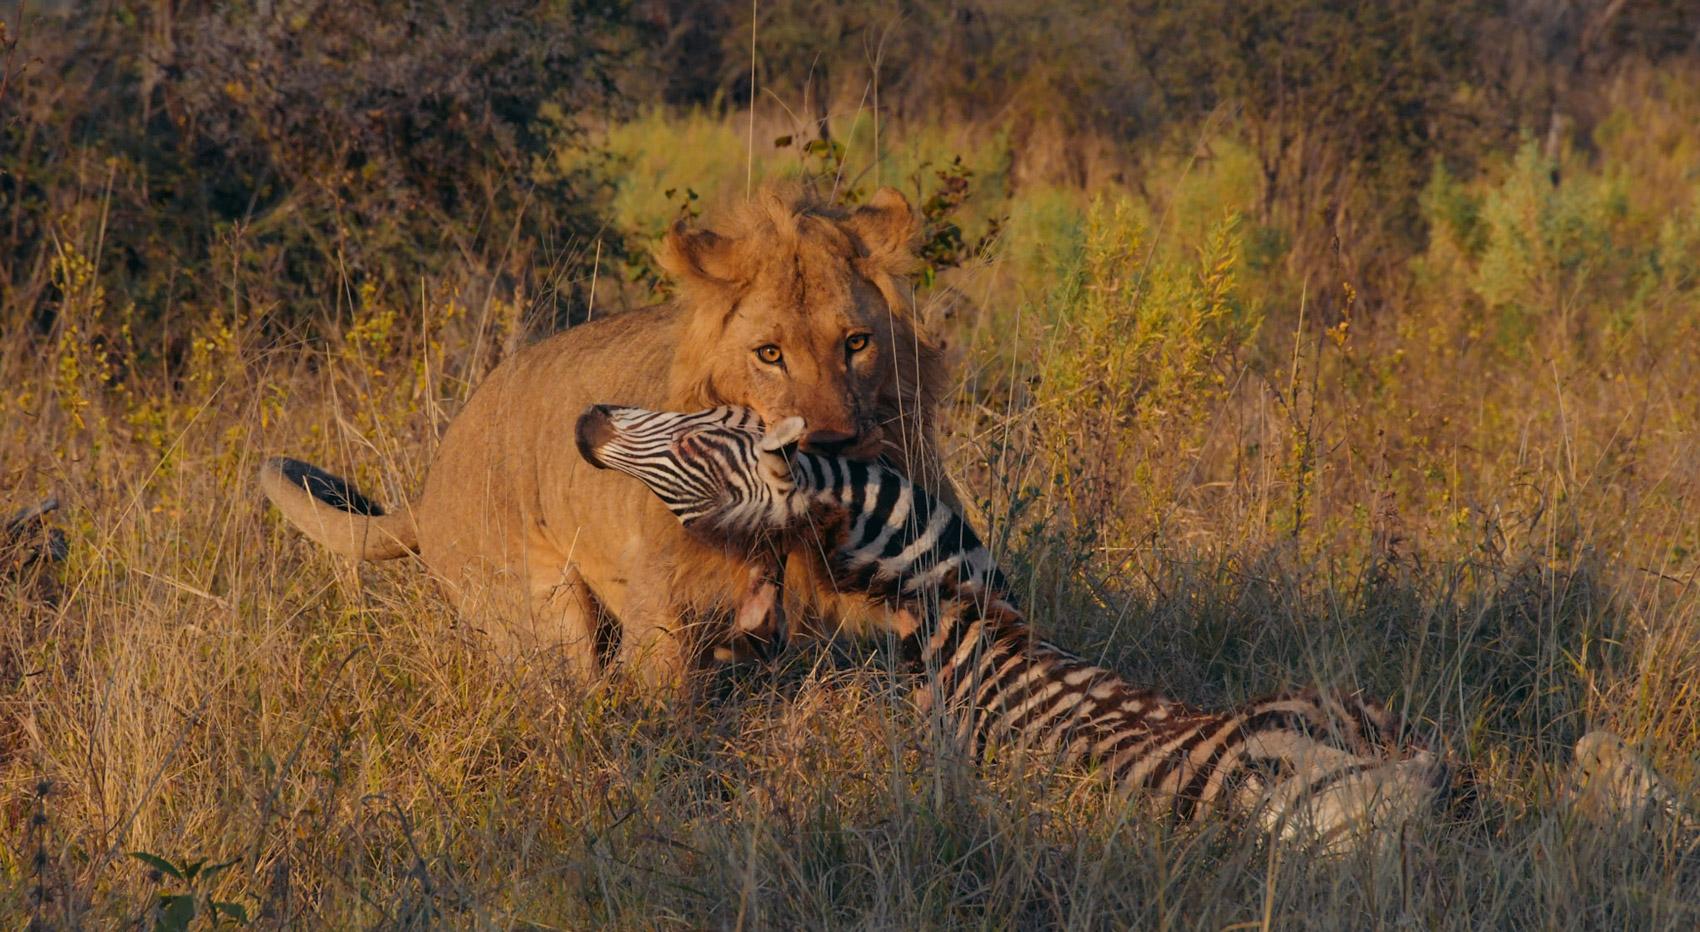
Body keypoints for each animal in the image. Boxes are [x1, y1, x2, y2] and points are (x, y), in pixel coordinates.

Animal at [260, 187, 955, 696]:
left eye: (857, 343)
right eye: (769, 354)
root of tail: (434, 476)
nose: (834, 445)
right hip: (540, 610)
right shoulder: (662, 602)